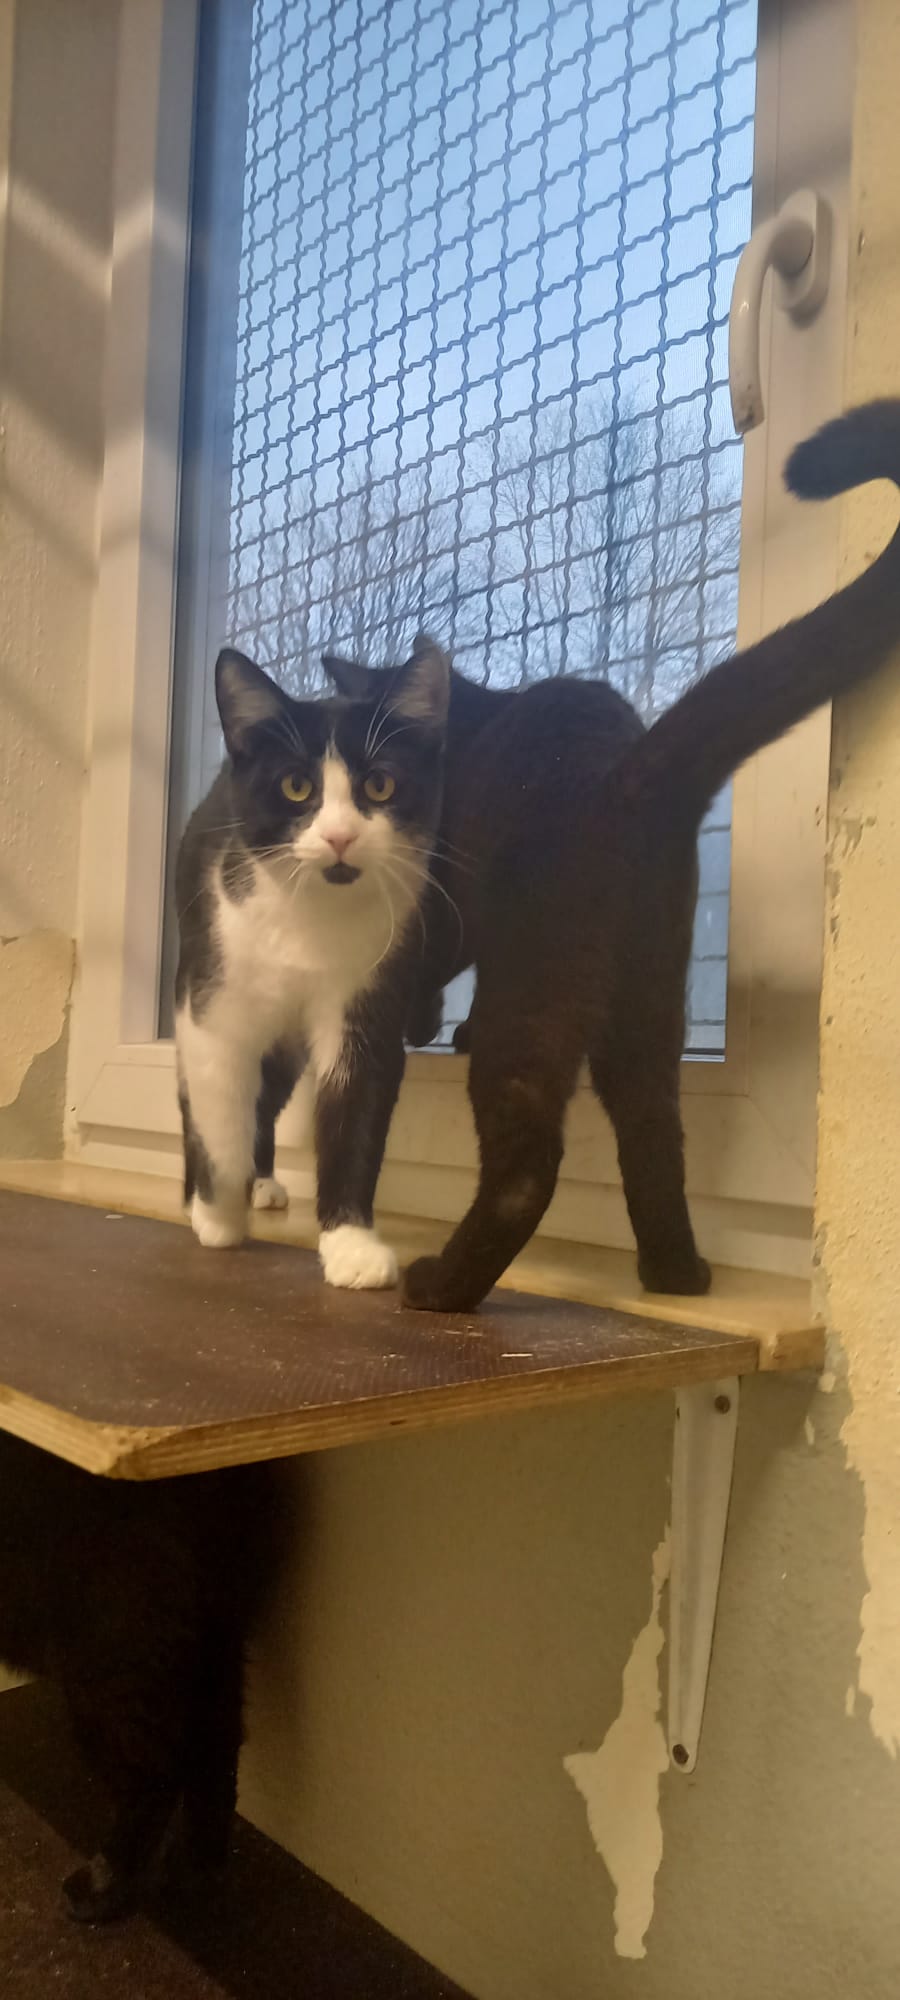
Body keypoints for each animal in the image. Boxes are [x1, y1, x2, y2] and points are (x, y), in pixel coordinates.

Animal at [0, 1431, 278, 1921]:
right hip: (212, 1634)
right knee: (217, 1748)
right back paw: (195, 1872)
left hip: (112, 1656)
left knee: (154, 1773)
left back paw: (102, 1885)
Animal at [175, 633, 448, 1289]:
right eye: (297, 787)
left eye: (381, 785)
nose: (340, 836)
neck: (311, 921)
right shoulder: (213, 1001)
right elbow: (218, 1105)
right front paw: (216, 1215)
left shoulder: (371, 995)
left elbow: (356, 1111)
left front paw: (351, 1244)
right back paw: (201, 1192)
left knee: (271, 1092)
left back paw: (267, 1182)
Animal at [323, 400, 900, 1311]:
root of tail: (626, 772)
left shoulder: (441, 905)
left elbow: (424, 967)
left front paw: (421, 1024)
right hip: (648, 998)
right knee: (654, 1131)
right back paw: (677, 1274)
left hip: (534, 992)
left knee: (527, 1165)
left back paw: (441, 1285)